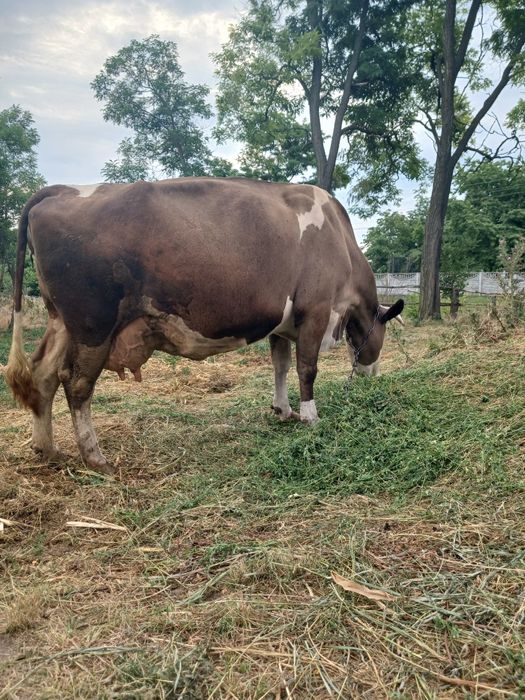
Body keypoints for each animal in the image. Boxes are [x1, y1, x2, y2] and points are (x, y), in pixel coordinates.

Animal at [6, 178, 404, 475]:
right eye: (381, 338)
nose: (372, 377)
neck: (339, 237)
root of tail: (64, 190)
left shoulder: (281, 324)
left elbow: (280, 366)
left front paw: (283, 410)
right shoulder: (316, 311)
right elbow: (306, 369)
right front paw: (310, 417)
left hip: (62, 321)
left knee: (43, 374)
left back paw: (47, 448)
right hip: (93, 324)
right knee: (75, 382)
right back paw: (94, 456)